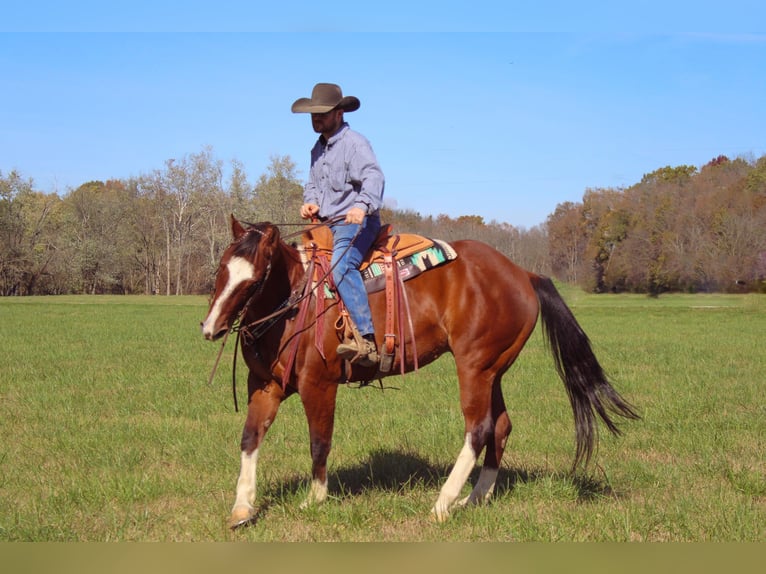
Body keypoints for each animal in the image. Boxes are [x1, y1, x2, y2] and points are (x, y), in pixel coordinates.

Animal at [201, 217, 640, 532]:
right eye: (221, 270)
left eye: (254, 280)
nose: (211, 328)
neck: (296, 303)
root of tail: (522, 274)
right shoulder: (264, 386)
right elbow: (250, 438)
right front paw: (242, 506)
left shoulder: (319, 385)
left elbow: (319, 442)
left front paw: (315, 499)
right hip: (493, 370)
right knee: (500, 426)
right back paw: (473, 498)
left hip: (473, 366)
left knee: (478, 428)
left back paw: (443, 503)